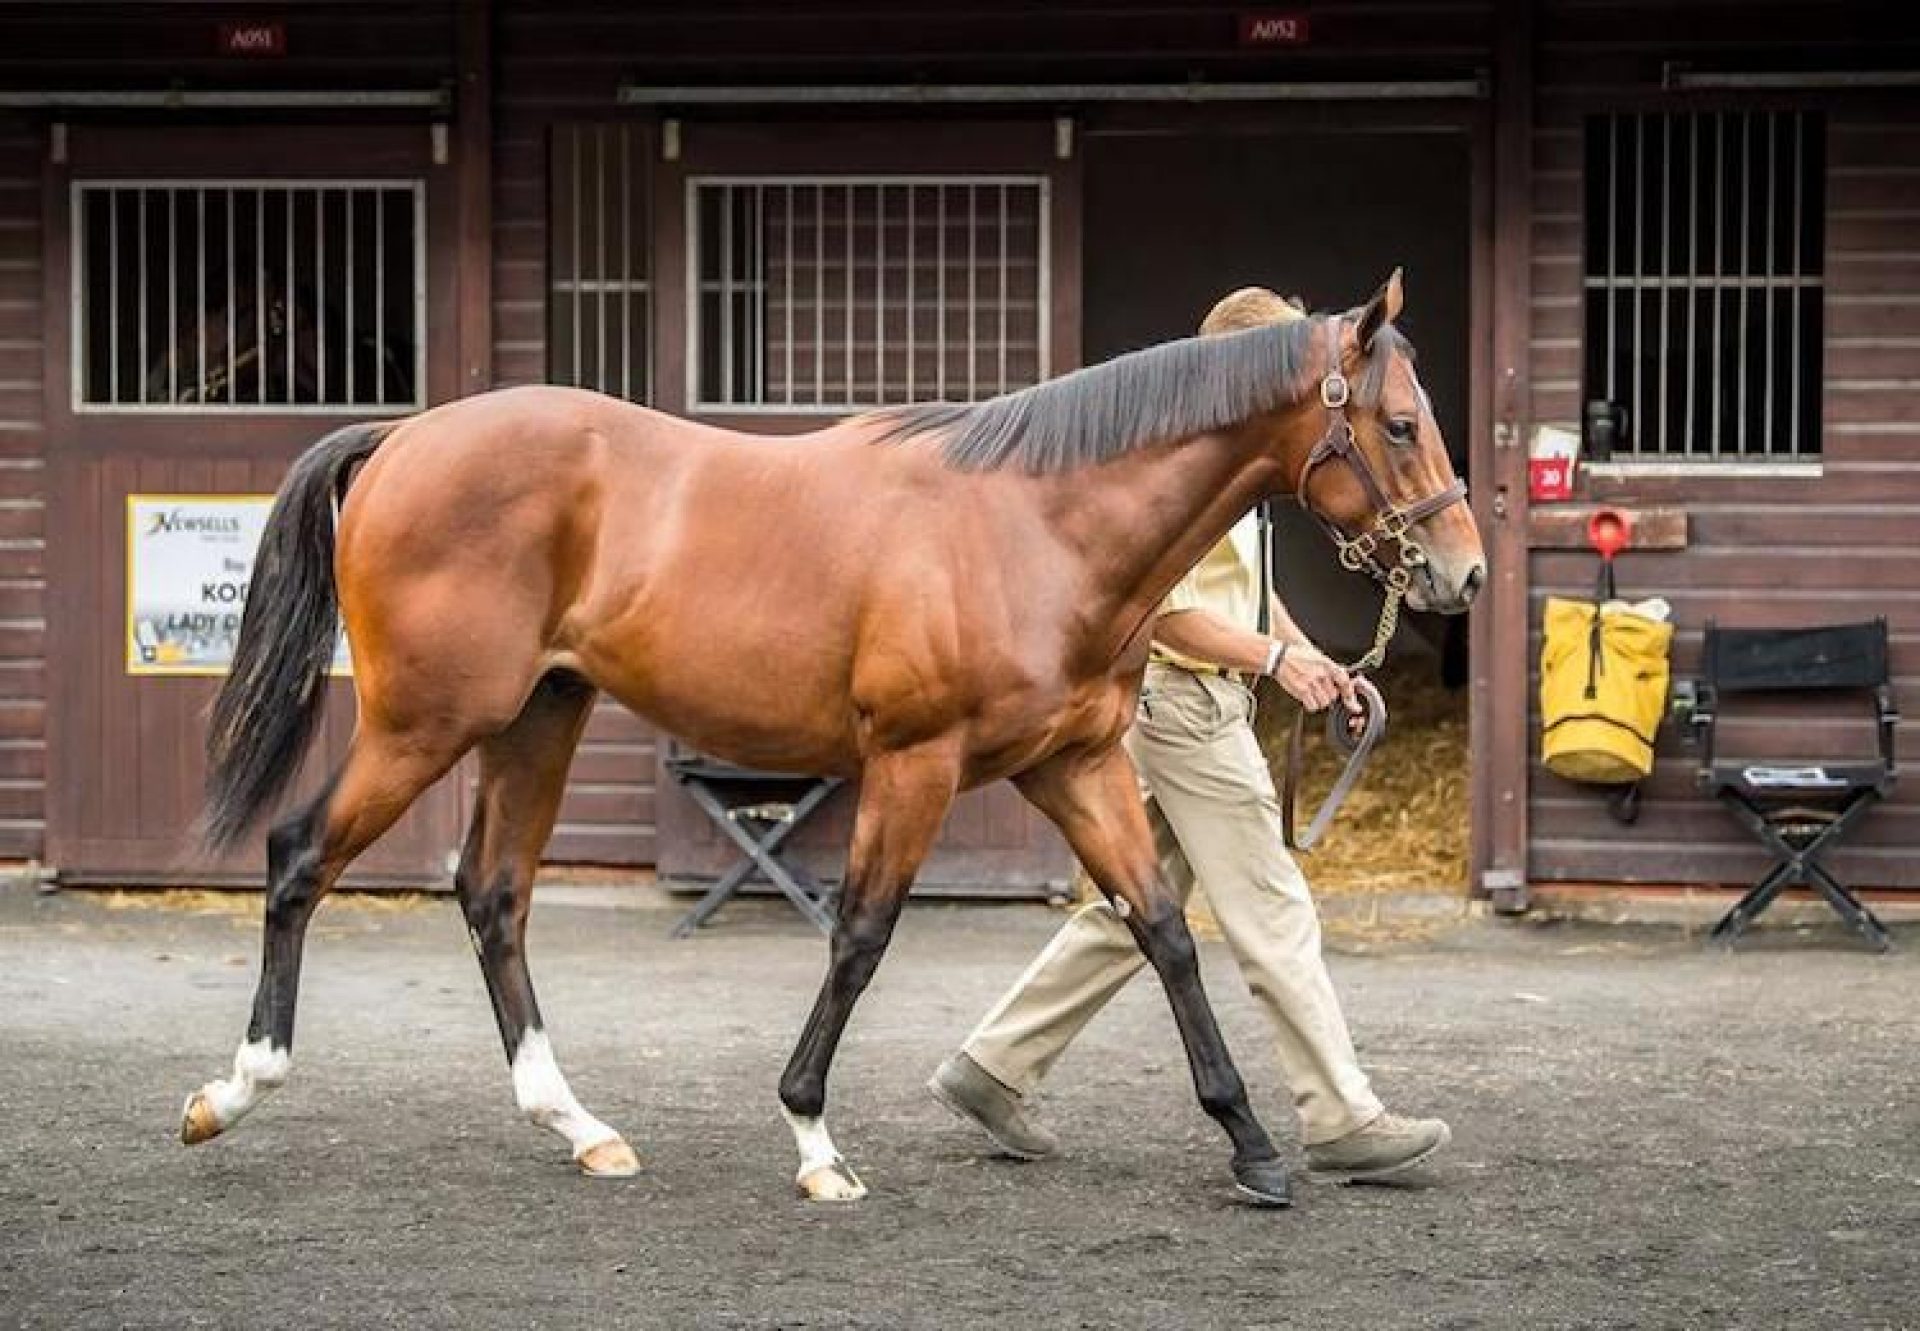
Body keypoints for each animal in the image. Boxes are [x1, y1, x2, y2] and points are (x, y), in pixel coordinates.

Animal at [180, 270, 1482, 1206]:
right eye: (1399, 423)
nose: (1462, 574)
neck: (1038, 522)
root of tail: (402, 438)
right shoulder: (915, 764)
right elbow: (859, 935)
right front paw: (814, 1136)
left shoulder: (1073, 764)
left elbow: (1162, 930)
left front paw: (1253, 1142)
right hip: (426, 721)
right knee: (301, 856)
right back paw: (233, 1090)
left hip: (537, 716)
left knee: (493, 893)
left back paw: (581, 1127)